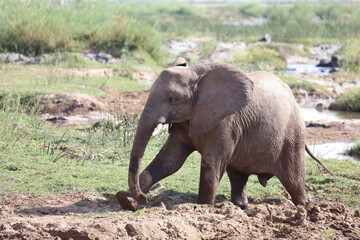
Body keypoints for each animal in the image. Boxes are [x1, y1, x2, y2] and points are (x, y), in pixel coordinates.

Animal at [121, 59, 332, 209]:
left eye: (172, 99)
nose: (145, 198)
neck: (196, 75)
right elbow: (170, 160)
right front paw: (126, 200)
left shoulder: (225, 121)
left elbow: (211, 163)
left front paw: (202, 208)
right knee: (238, 176)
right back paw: (241, 206)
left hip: (292, 134)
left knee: (293, 180)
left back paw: (306, 208)